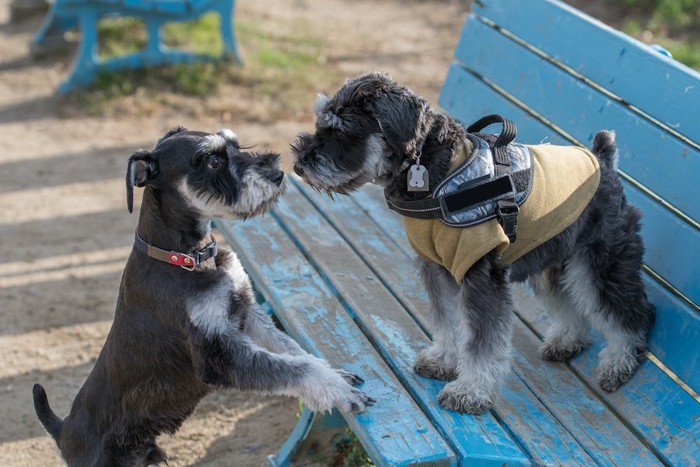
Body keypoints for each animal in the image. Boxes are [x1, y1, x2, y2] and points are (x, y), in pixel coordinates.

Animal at [31, 128, 378, 467]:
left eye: (234, 144)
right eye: (211, 161)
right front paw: (339, 390)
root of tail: (63, 431)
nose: (278, 174)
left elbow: (291, 350)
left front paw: (337, 376)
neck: (187, 257)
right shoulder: (218, 352)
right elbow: (293, 367)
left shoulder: (247, 316)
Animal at [288, 74, 652, 416]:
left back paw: (618, 362)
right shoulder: (437, 269)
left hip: (600, 264)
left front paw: (470, 391)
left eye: (343, 131)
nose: (298, 165)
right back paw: (567, 340)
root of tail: (603, 159)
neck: (433, 172)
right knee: (569, 303)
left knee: (630, 314)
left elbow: (481, 341)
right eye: (321, 122)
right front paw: (443, 360)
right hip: (549, 263)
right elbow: (447, 321)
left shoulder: (480, 275)